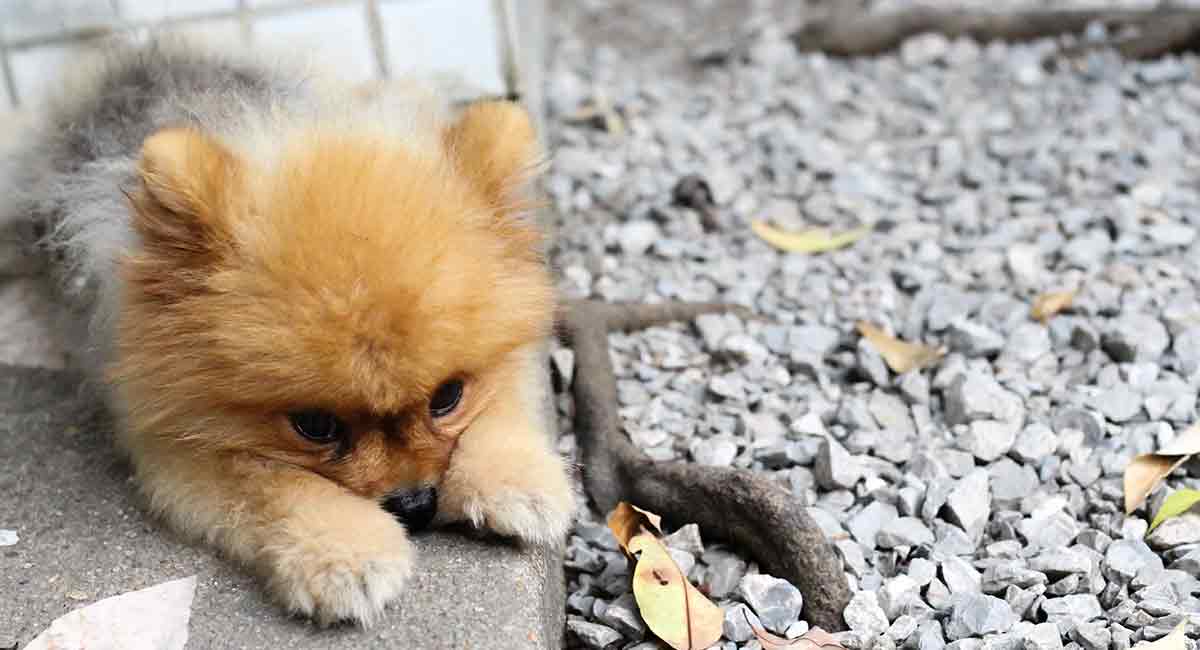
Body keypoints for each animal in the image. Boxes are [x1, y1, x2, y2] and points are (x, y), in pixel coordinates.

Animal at [0, 36, 576, 628]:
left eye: (447, 397)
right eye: (315, 426)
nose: (415, 505)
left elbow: (502, 404)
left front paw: (518, 479)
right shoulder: (175, 443)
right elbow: (274, 481)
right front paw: (345, 553)